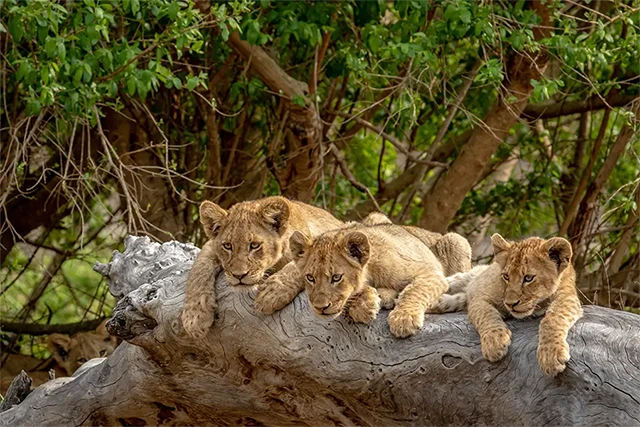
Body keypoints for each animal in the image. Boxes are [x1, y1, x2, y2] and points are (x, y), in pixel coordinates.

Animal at [181, 196, 343, 338]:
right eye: (227, 246)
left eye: (254, 245)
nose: (239, 275)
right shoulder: (210, 246)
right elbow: (199, 269)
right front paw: (194, 317)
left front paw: (271, 294)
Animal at [284, 223, 448, 338]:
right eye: (310, 278)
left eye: (336, 277)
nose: (320, 307)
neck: (371, 272)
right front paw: (364, 306)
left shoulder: (431, 271)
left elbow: (415, 290)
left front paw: (404, 319)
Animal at [432, 234, 582, 376]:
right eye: (506, 276)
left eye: (528, 278)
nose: (510, 304)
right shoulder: (479, 299)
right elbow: (486, 314)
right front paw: (494, 341)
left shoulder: (568, 298)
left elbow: (552, 319)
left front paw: (550, 355)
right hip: (462, 279)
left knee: (460, 298)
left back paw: (438, 304)